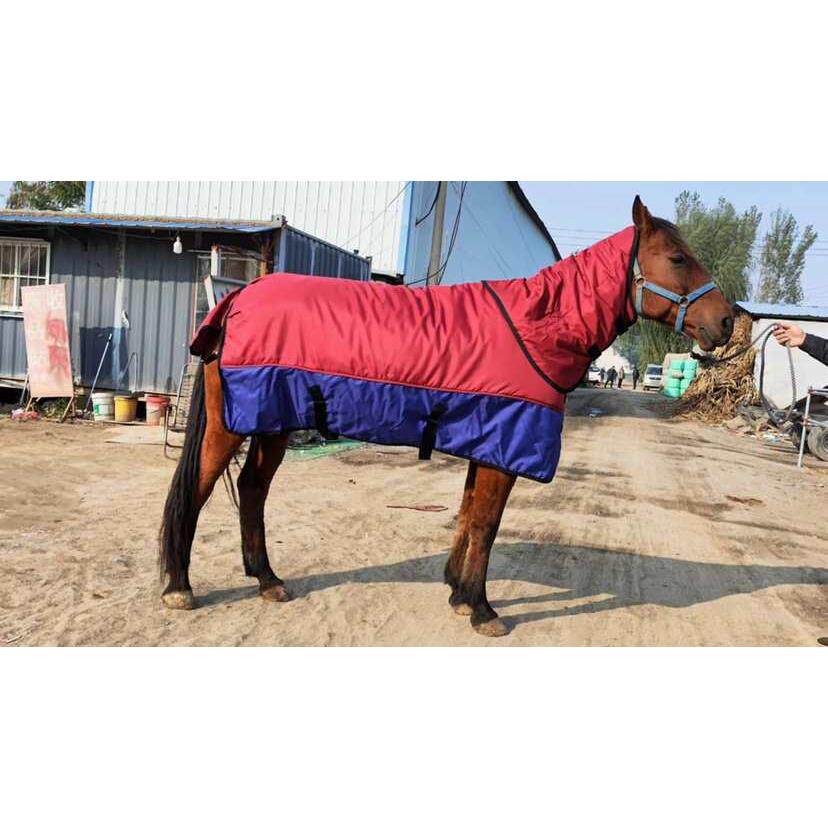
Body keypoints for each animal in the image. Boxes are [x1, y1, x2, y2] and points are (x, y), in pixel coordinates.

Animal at [159, 196, 735, 637]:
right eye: (678, 258)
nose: (728, 321)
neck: (536, 328)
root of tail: (237, 300)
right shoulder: (503, 449)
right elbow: (486, 524)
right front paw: (482, 609)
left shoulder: (488, 444)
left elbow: (467, 517)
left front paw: (459, 593)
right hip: (231, 426)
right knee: (198, 490)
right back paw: (179, 587)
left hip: (272, 427)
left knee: (253, 491)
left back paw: (267, 580)